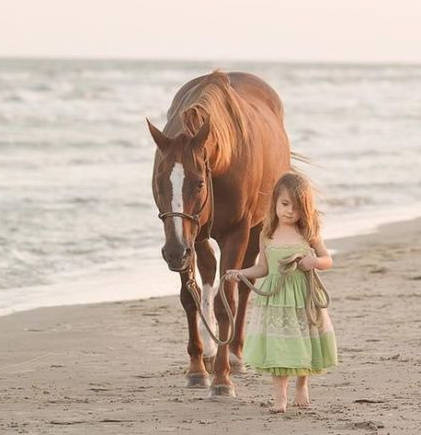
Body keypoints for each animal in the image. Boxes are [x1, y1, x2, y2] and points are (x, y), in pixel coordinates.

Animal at [147, 71, 288, 398]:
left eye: (199, 183)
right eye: (159, 181)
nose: (172, 252)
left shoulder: (236, 234)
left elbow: (228, 304)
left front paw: (223, 378)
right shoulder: (190, 237)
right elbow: (191, 296)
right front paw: (197, 368)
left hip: (254, 230)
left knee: (245, 288)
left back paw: (234, 355)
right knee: (209, 276)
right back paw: (211, 353)